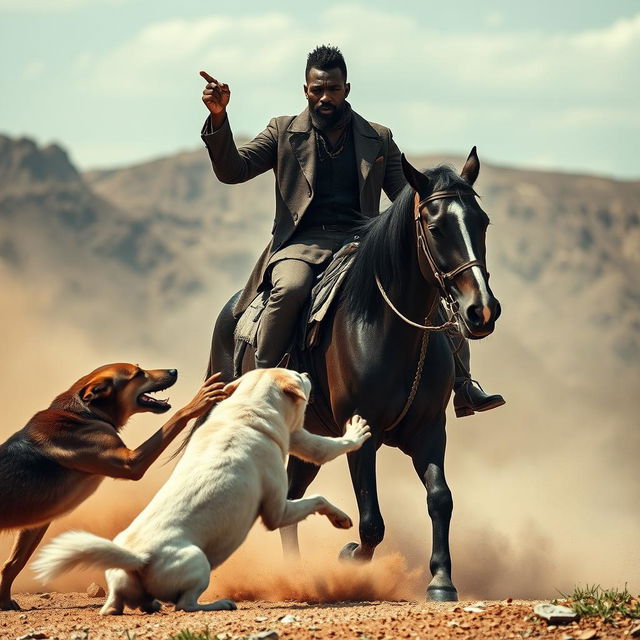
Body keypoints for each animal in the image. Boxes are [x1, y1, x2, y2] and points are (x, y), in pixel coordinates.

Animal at [0, 360, 228, 608]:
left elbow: (13, 563)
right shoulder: (131, 463)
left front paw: (5, 601)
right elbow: (176, 416)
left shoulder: (37, 523)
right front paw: (198, 401)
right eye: (138, 374)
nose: (173, 371)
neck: (86, 413)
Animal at [33, 370, 370, 616]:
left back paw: (147, 604)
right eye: (298, 377)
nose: (307, 371)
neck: (245, 411)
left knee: (116, 607)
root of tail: (138, 558)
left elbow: (322, 448)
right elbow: (318, 498)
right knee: (185, 604)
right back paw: (218, 604)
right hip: (199, 564)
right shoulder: (278, 511)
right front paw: (341, 517)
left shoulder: (296, 437)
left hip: (119, 588)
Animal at [202, 149, 502, 600]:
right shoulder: (361, 435)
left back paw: (296, 575)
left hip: (310, 442)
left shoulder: (431, 430)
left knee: (290, 497)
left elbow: (440, 498)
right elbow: (372, 523)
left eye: (481, 222)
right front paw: (348, 557)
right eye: (435, 228)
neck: (388, 328)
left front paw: (442, 581)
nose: (481, 310)